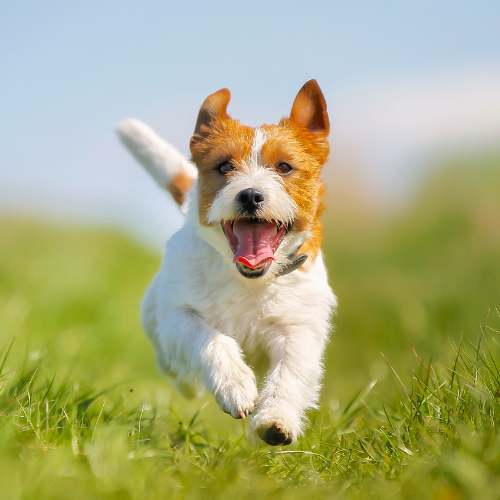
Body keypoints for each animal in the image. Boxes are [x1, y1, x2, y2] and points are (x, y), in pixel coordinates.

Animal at [116, 81, 336, 446]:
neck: (248, 280)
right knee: (173, 366)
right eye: (223, 167)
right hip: (157, 324)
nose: (250, 195)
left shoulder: (298, 328)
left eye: (284, 167)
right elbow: (211, 339)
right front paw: (235, 386)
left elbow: (289, 371)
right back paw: (188, 384)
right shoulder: (179, 317)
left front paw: (275, 419)